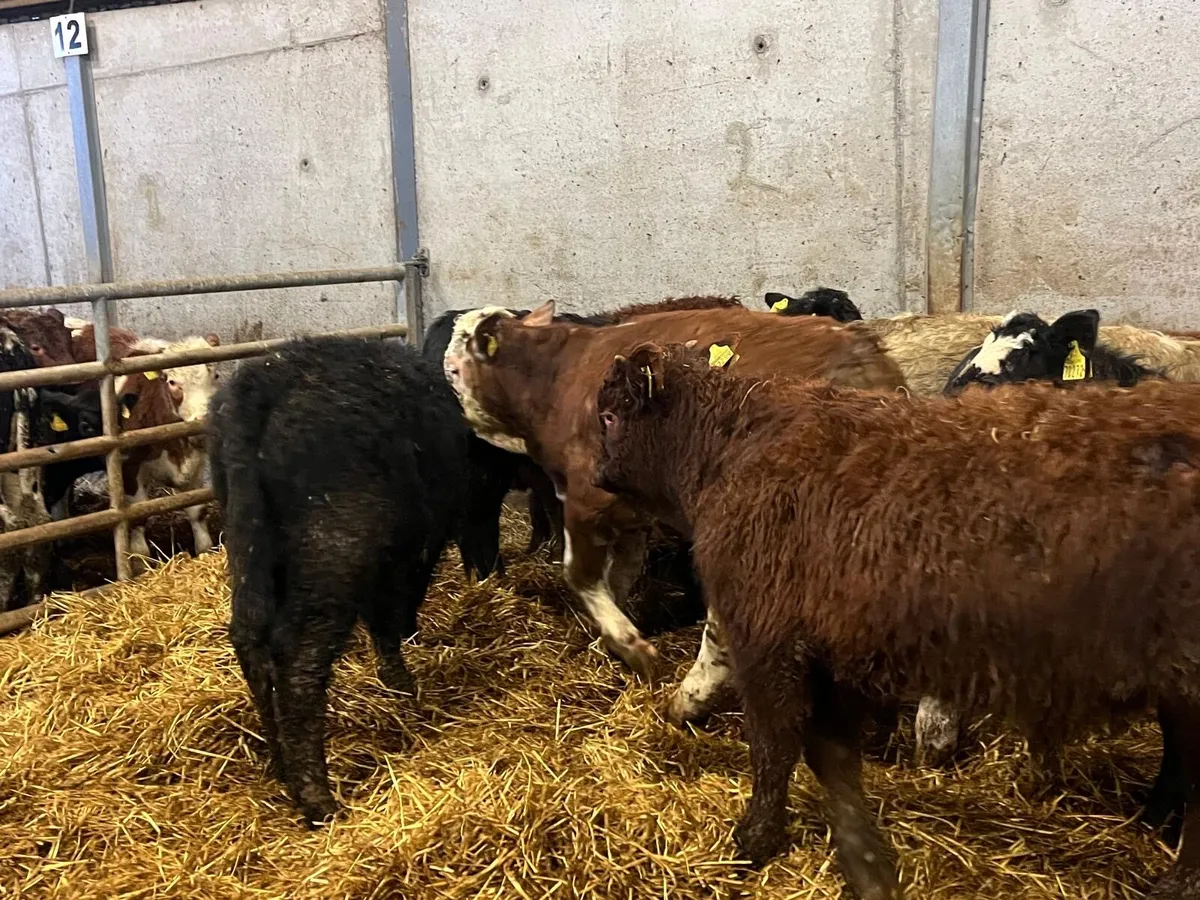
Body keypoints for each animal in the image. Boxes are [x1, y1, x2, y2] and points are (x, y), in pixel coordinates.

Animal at [208, 336, 495, 824]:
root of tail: (265, 390)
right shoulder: (416, 544)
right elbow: (392, 611)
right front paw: (401, 681)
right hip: (336, 544)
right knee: (299, 656)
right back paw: (317, 797)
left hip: (247, 536)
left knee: (249, 636)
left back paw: (281, 766)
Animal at [593, 341, 1200, 899]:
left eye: (610, 416)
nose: (594, 472)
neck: (729, 446)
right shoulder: (838, 648)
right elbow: (832, 755)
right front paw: (864, 859)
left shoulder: (767, 637)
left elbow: (774, 746)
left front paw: (755, 840)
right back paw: (1155, 822)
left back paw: (1177, 877)